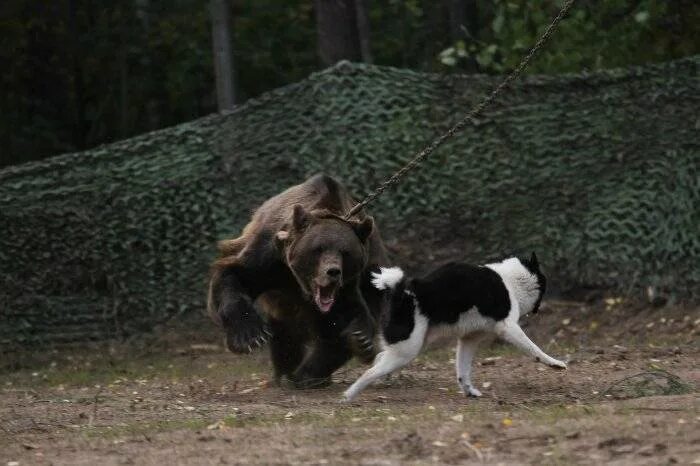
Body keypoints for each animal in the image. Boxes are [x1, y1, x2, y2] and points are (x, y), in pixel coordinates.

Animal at [211, 173, 392, 388]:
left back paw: (307, 374)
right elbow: (237, 274)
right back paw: (286, 372)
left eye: (345, 252)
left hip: (373, 275)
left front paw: (361, 338)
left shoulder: (347, 287)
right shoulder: (271, 257)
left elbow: (346, 319)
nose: (333, 272)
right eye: (318, 249)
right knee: (285, 333)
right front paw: (249, 337)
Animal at [344, 253, 568, 402]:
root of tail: (405, 293)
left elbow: (463, 370)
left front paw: (469, 391)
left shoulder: (468, 339)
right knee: (370, 372)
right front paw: (554, 363)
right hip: (407, 350)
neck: (512, 281)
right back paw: (349, 396)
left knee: (379, 359)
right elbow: (534, 349)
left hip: (407, 346)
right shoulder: (508, 327)